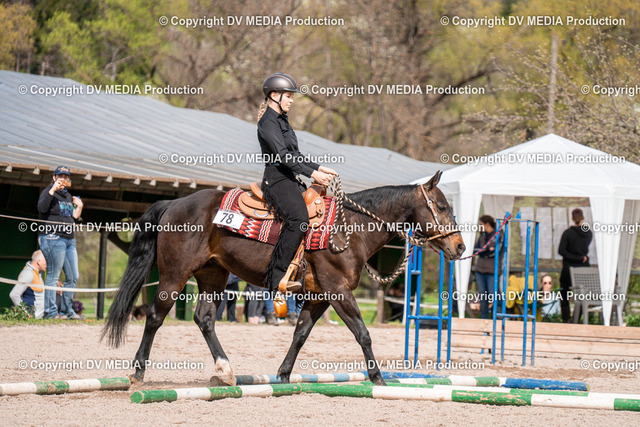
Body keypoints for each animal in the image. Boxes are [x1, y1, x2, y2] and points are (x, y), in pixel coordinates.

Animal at [102, 170, 465, 386]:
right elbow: (363, 334)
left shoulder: (319, 297)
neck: (348, 229)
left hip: (213, 275)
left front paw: (284, 375)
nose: (460, 246)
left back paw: (225, 371)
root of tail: (174, 203)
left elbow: (300, 334)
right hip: (174, 276)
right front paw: (378, 379)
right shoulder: (338, 291)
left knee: (204, 319)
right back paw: (138, 373)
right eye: (441, 205)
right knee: (154, 317)